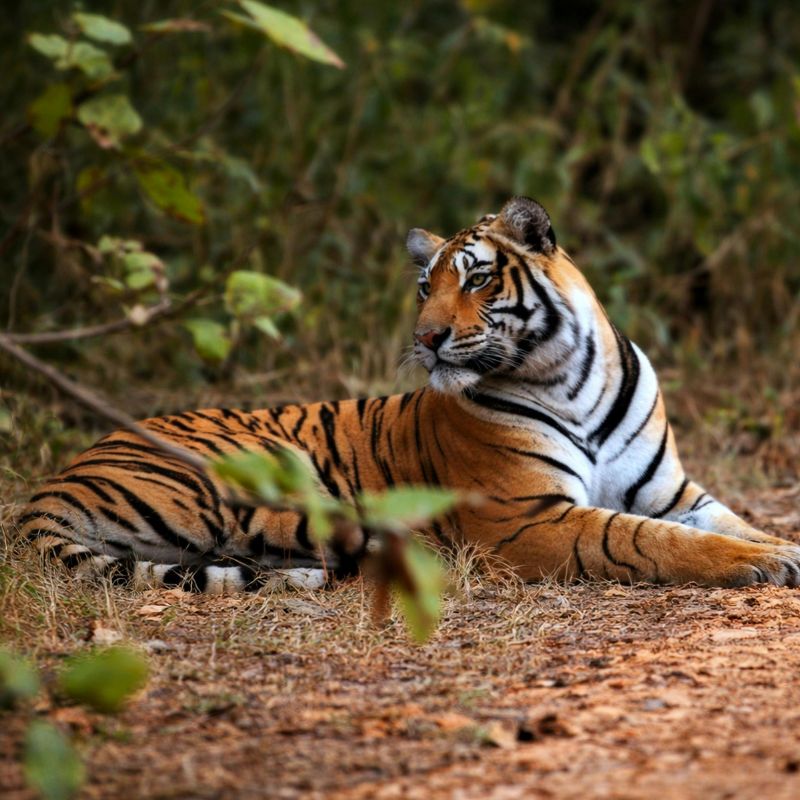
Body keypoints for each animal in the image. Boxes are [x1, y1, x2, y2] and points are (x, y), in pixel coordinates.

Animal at [18, 196, 800, 593]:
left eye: (477, 278)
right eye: (426, 287)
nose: (425, 338)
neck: (571, 377)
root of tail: (56, 479)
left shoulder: (674, 492)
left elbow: (728, 521)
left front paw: (777, 545)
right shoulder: (525, 519)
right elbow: (644, 539)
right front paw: (759, 563)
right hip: (262, 473)